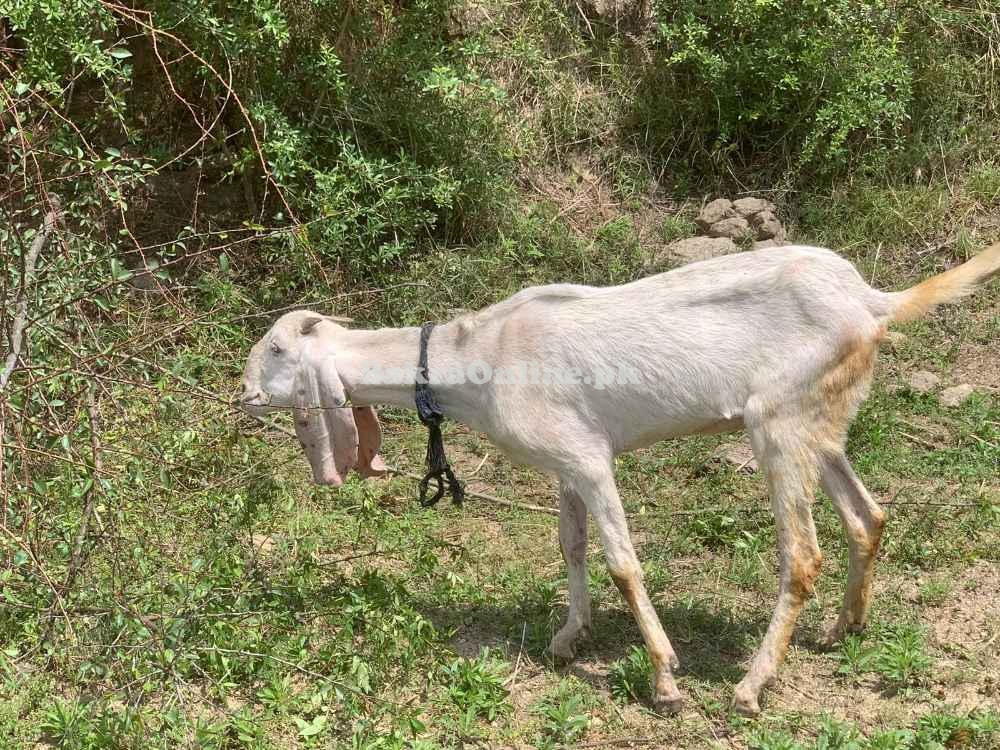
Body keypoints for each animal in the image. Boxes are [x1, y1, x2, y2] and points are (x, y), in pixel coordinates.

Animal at [240, 244, 1000, 720]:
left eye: (275, 350)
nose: (242, 395)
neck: (477, 355)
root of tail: (870, 301)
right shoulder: (563, 462)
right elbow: (572, 547)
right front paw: (567, 638)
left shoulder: (589, 458)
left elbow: (623, 564)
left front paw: (664, 679)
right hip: (822, 418)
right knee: (868, 517)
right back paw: (843, 628)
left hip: (778, 423)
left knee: (803, 554)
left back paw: (752, 686)